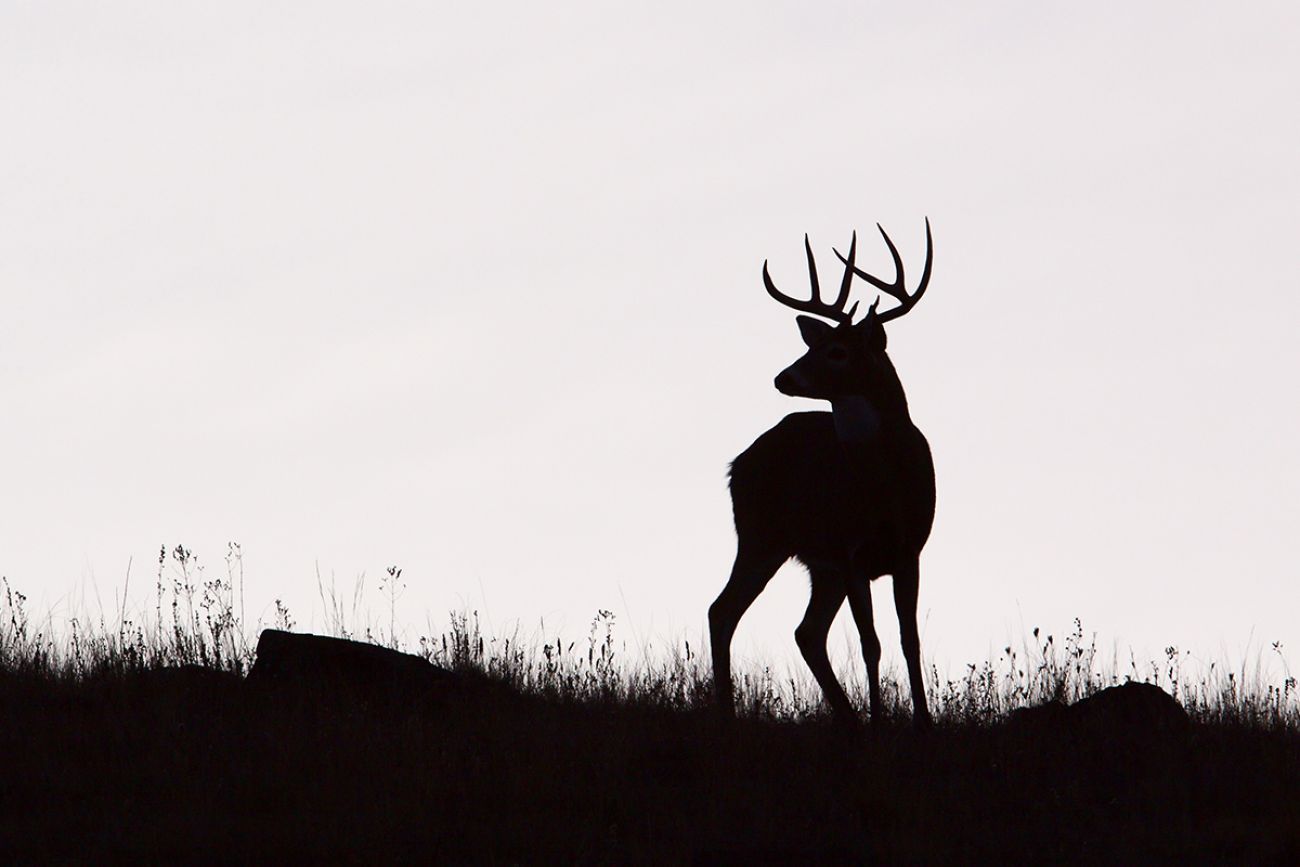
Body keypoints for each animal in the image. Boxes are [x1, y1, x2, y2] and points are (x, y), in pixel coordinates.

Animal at [712, 220, 935, 727]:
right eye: (811, 345)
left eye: (836, 351)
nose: (783, 378)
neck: (885, 487)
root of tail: (738, 463)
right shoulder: (852, 553)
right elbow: (872, 643)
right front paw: (879, 721)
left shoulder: (908, 551)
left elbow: (909, 640)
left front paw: (923, 720)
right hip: (761, 536)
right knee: (723, 611)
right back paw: (728, 713)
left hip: (817, 564)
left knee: (806, 631)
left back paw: (846, 716)